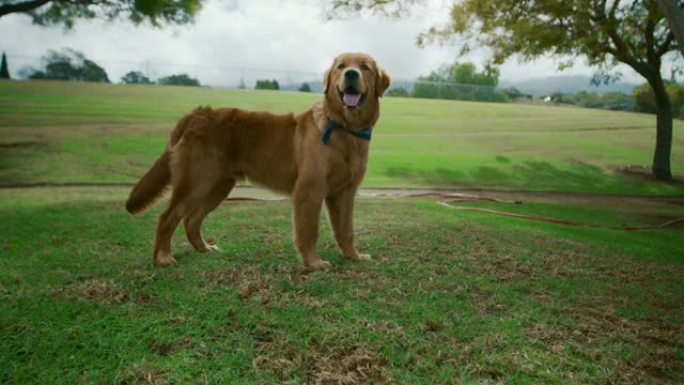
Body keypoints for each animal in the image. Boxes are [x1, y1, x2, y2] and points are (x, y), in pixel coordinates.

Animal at [124, 51, 390, 270]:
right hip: (196, 181)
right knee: (168, 218)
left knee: (192, 219)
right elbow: (309, 231)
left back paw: (204, 249)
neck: (345, 129)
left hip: (218, 186)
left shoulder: (344, 193)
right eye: (341, 66)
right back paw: (163, 258)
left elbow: (346, 230)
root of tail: (196, 114)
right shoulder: (309, 190)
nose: (351, 74)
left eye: (365, 67)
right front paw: (313, 263)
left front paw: (354, 256)